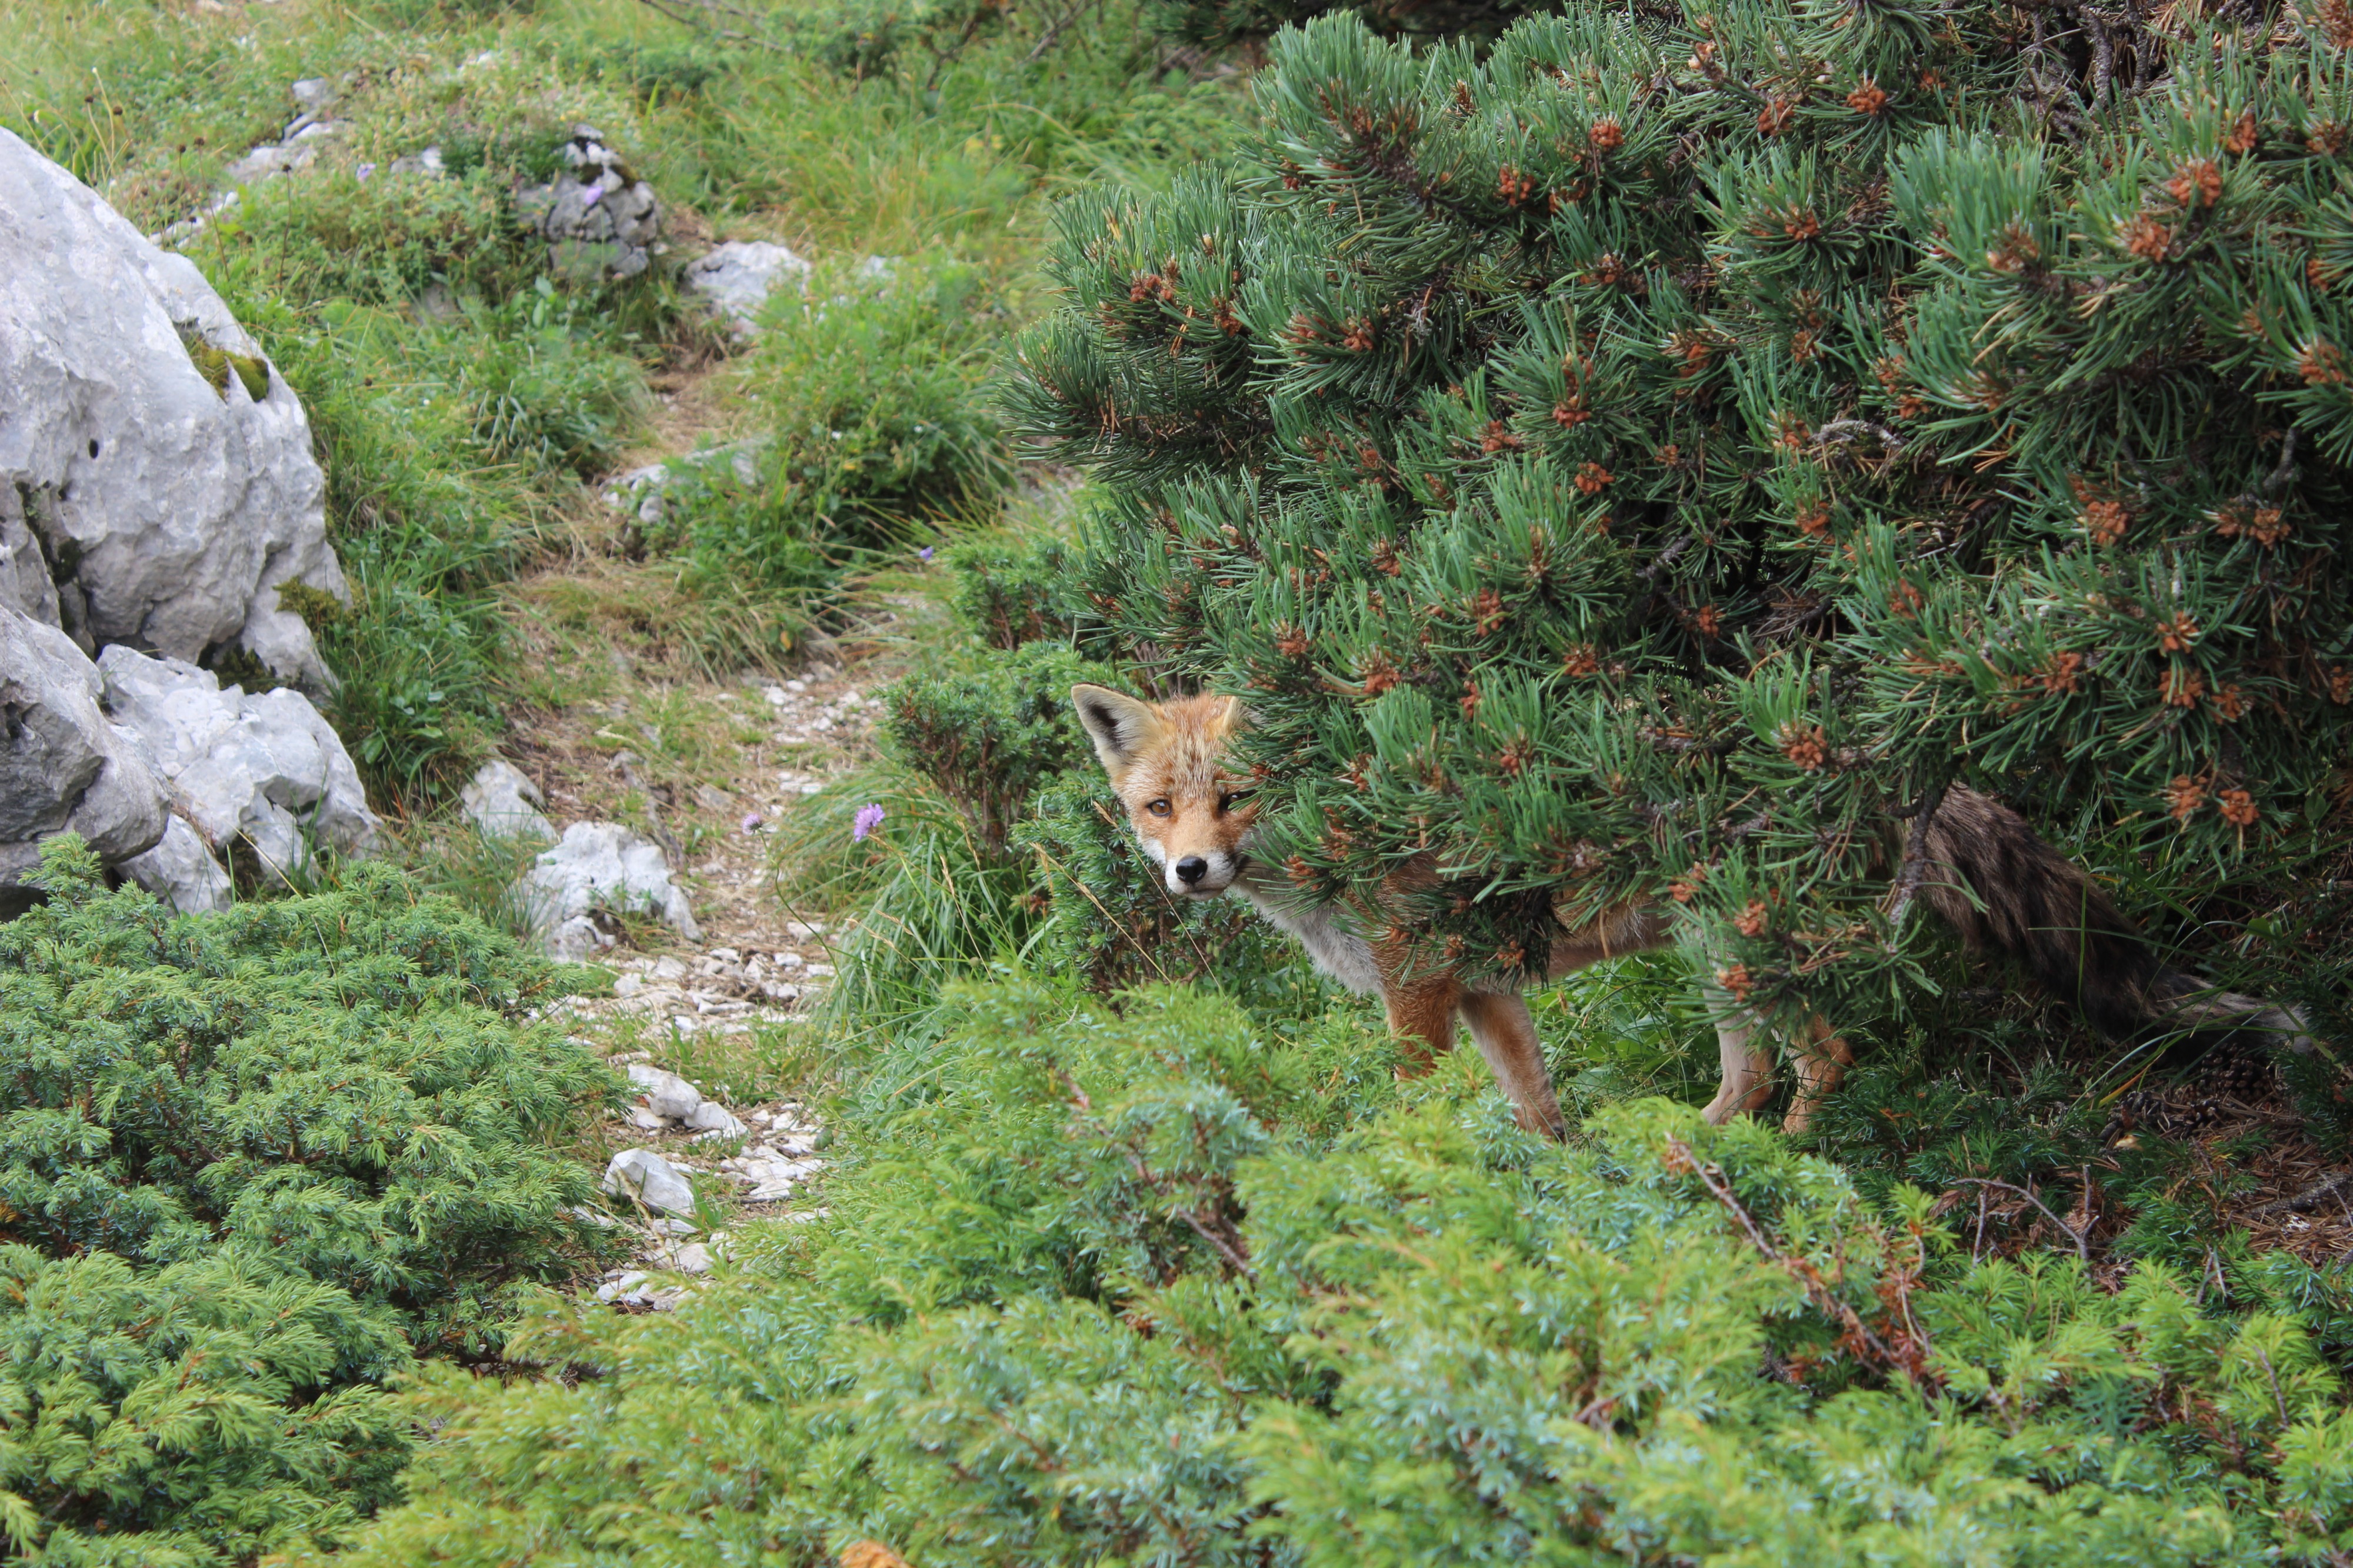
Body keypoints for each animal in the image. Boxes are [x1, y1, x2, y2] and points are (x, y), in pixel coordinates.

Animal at [1071, 682, 2319, 1138]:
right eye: (1159, 807)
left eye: (1234, 797)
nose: (1191, 871)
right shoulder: (1489, 995)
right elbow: (1536, 1111)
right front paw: (1551, 1181)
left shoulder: (1420, 993)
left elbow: (1414, 1108)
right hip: (1714, 962)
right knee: (1754, 1071)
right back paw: (1694, 1147)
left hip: (1734, 951)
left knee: (1823, 1058)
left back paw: (1788, 1167)